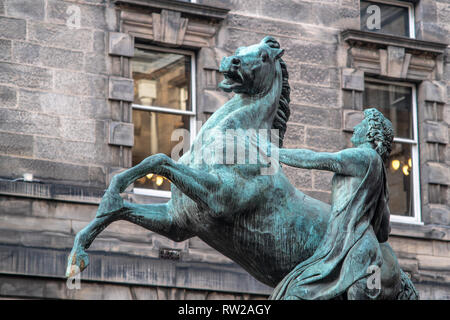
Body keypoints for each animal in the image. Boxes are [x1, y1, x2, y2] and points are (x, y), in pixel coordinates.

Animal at [67, 37, 418, 300]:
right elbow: (123, 205)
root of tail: (400, 272)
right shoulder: (178, 223)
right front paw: (78, 255)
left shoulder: (220, 198)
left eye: (262, 55)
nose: (231, 62)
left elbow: (160, 161)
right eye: (239, 48)